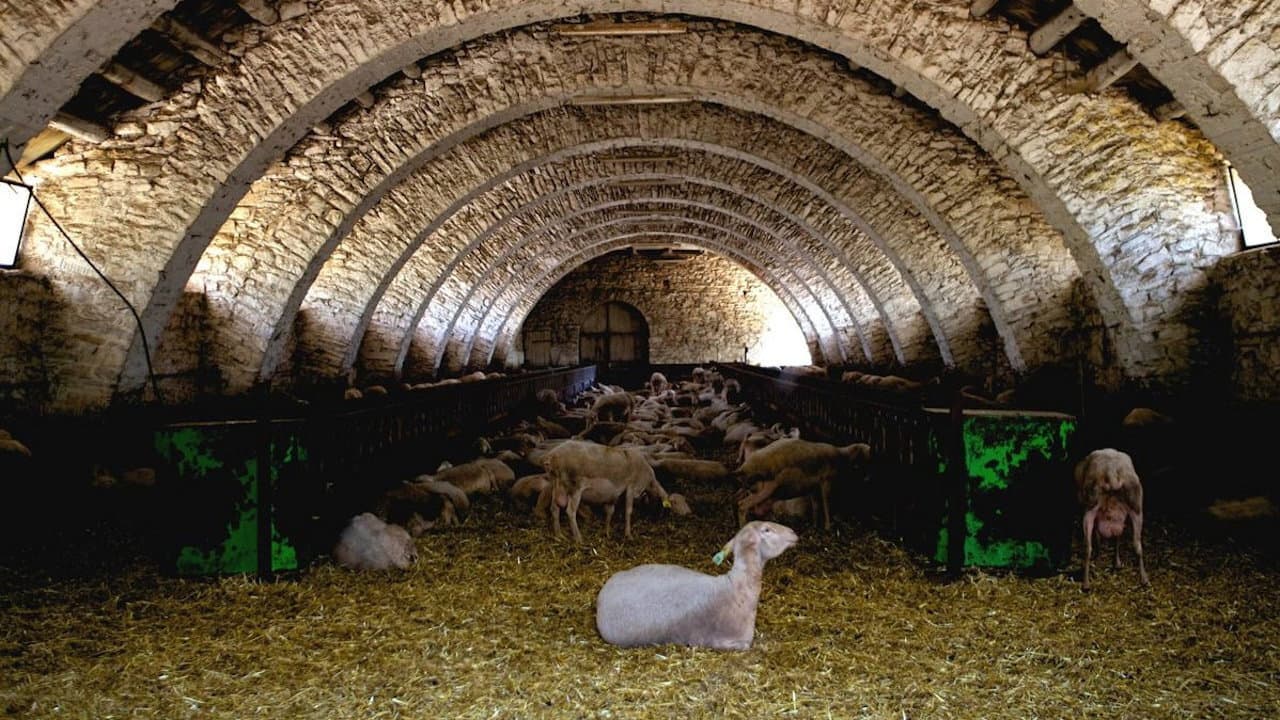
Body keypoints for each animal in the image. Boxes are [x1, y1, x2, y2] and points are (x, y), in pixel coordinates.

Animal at [542, 439, 672, 543]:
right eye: (663, 507)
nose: (656, 519)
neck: (649, 482)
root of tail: (552, 457)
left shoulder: (614, 495)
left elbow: (610, 512)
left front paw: (607, 532)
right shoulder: (632, 487)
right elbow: (628, 511)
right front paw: (628, 535)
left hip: (556, 485)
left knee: (554, 509)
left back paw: (559, 535)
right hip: (575, 486)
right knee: (570, 511)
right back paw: (579, 539)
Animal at [735, 438, 871, 530]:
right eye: (863, 460)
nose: (868, 479)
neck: (841, 457)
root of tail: (746, 467)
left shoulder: (813, 487)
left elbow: (816, 505)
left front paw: (814, 525)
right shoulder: (826, 481)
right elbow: (826, 504)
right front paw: (828, 527)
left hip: (755, 488)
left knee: (743, 501)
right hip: (767, 489)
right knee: (742, 505)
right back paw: (743, 528)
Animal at [1074, 448, 1148, 591]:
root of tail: (1112, 472)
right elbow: (1118, 538)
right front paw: (1117, 564)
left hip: (1091, 501)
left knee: (1088, 547)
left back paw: (1086, 584)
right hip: (1136, 503)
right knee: (1137, 544)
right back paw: (1144, 580)